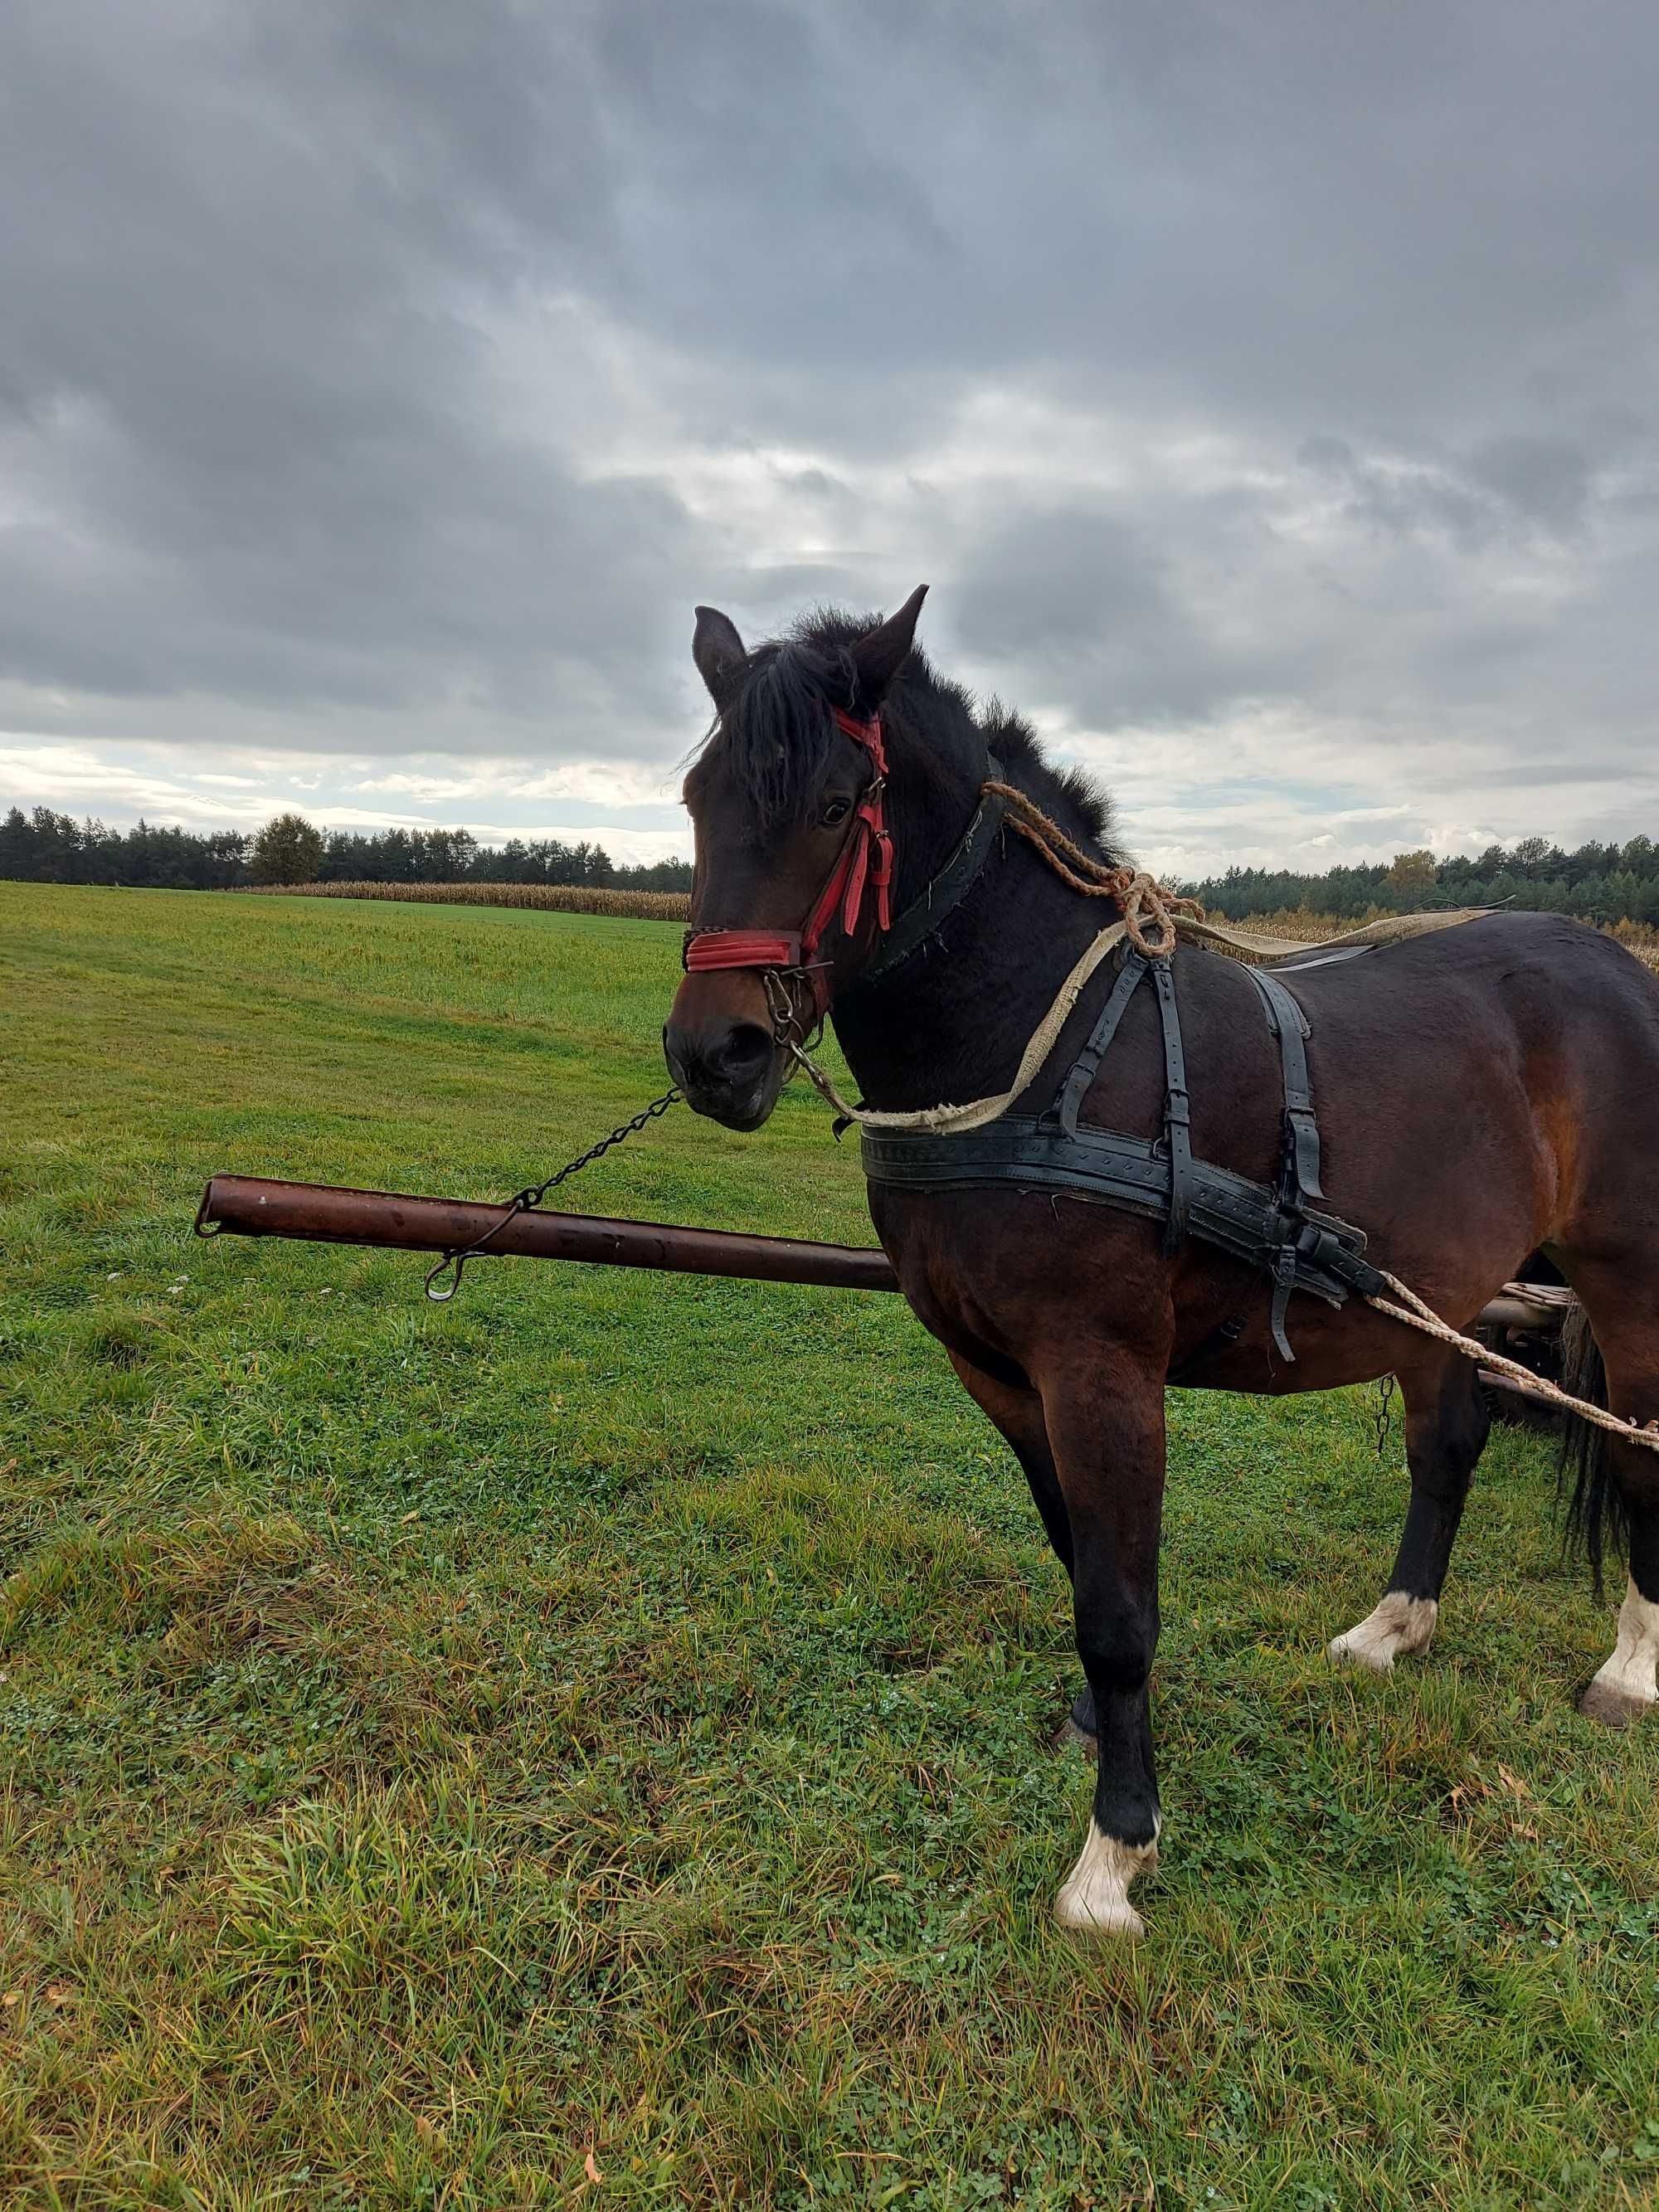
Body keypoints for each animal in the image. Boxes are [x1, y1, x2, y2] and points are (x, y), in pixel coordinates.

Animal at [664, 584, 1659, 1937]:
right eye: (696, 800)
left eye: (829, 807)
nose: (711, 1056)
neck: (1046, 1046)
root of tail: (1621, 966)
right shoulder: (998, 1371)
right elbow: (1075, 1559)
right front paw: (1100, 1731)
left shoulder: (1104, 1371)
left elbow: (1119, 1611)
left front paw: (1113, 1852)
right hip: (1440, 1290)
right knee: (1448, 1443)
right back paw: (1395, 1627)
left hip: (1628, 1273)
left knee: (1637, 1438)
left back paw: (1631, 1663)